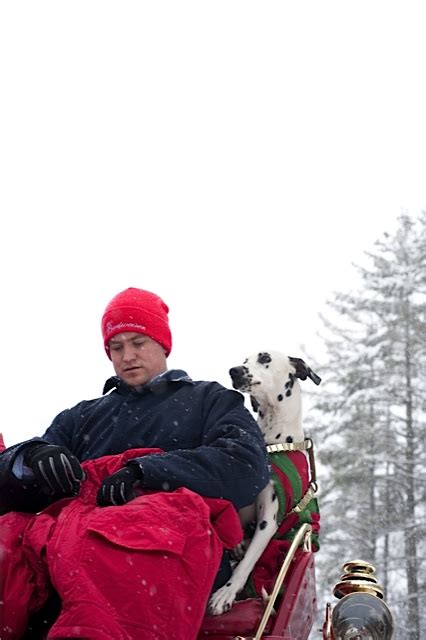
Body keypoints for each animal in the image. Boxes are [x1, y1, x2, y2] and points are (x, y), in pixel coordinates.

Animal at [208, 352, 322, 616]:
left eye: (264, 358)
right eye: (244, 360)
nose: (234, 370)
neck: (273, 444)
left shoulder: (268, 520)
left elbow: (247, 562)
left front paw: (226, 593)